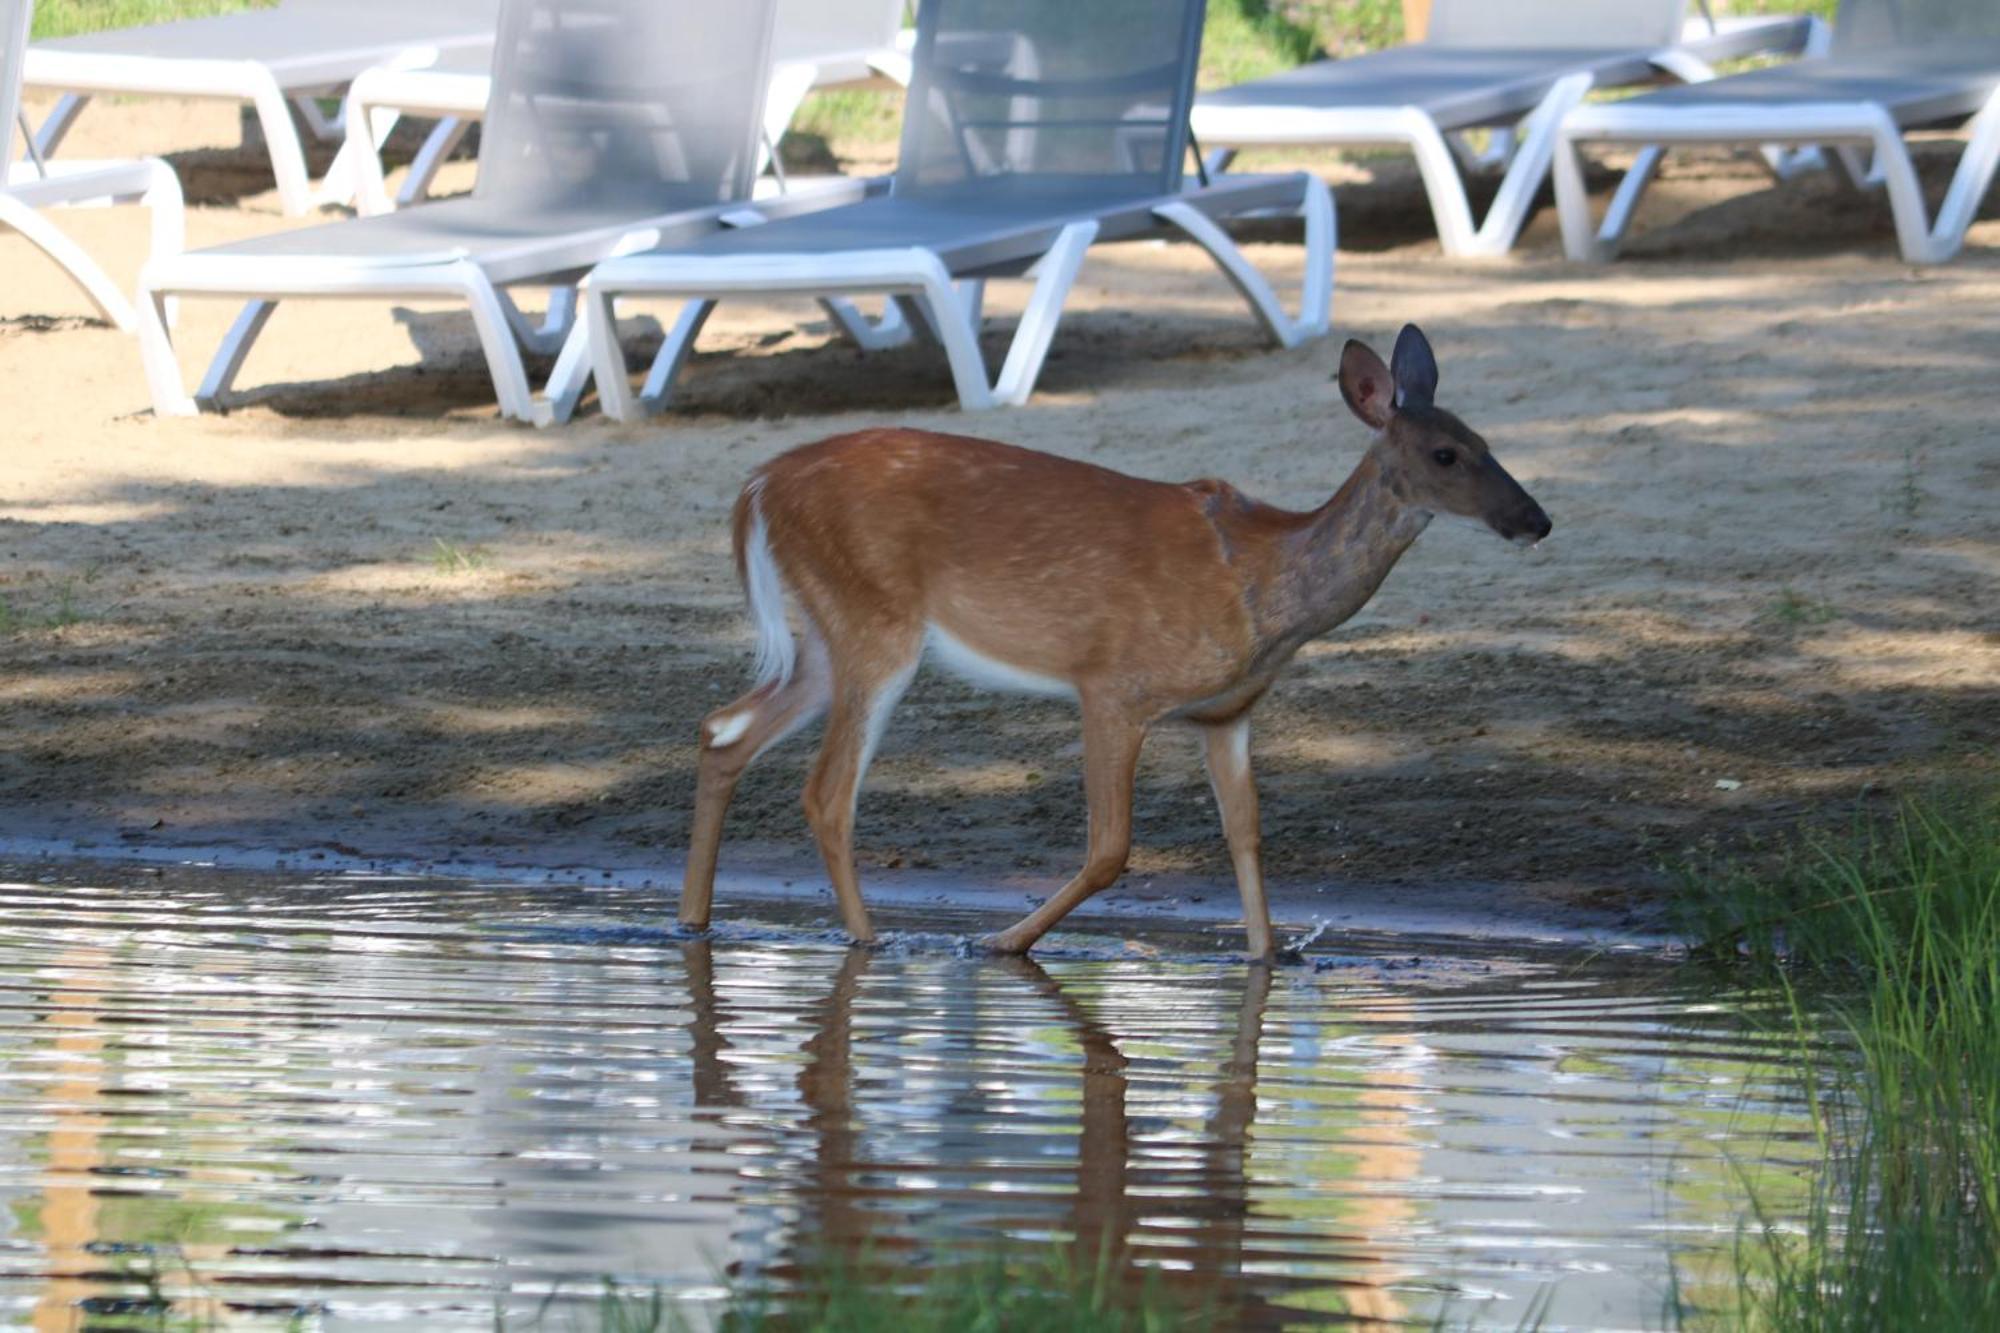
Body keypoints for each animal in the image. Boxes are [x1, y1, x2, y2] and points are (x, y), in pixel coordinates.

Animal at [680, 322, 1552, 956]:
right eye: (1446, 452)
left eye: (1487, 440)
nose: (1536, 519)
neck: (1262, 585)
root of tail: (759, 486)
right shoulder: (1113, 684)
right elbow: (1112, 849)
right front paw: (1002, 942)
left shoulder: (1227, 713)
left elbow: (1247, 835)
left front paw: (1269, 955)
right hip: (874, 619)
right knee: (826, 792)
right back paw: (870, 940)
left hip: (830, 632)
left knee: (723, 730)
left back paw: (694, 919)